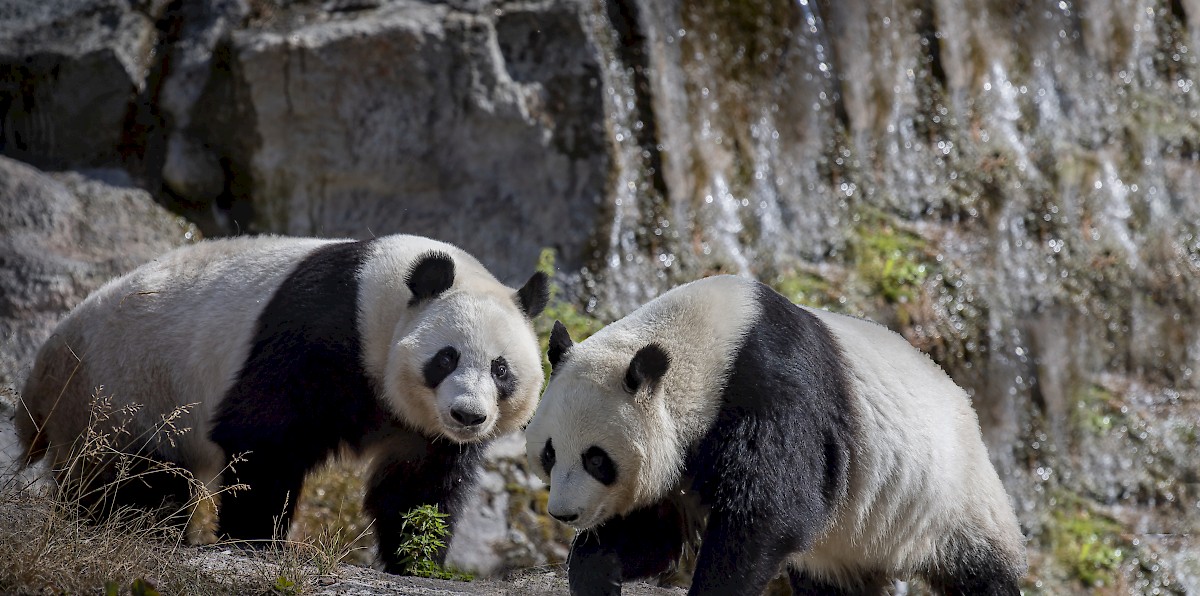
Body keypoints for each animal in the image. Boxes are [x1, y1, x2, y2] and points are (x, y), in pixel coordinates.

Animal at [17, 233, 549, 570]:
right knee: (128, 480)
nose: (468, 415)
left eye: (501, 369)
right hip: (122, 391)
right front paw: (254, 540)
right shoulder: (317, 332)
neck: (378, 299)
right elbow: (263, 432)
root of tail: (41, 371)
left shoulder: (424, 429)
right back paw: (135, 529)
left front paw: (417, 560)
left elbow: (419, 485)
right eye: (446, 357)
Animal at [530, 275, 1027, 594]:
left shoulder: (771, 390)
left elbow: (771, 511)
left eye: (597, 459)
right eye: (550, 454)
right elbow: (656, 529)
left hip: (949, 496)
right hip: (849, 541)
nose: (564, 514)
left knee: (982, 572)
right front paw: (596, 571)